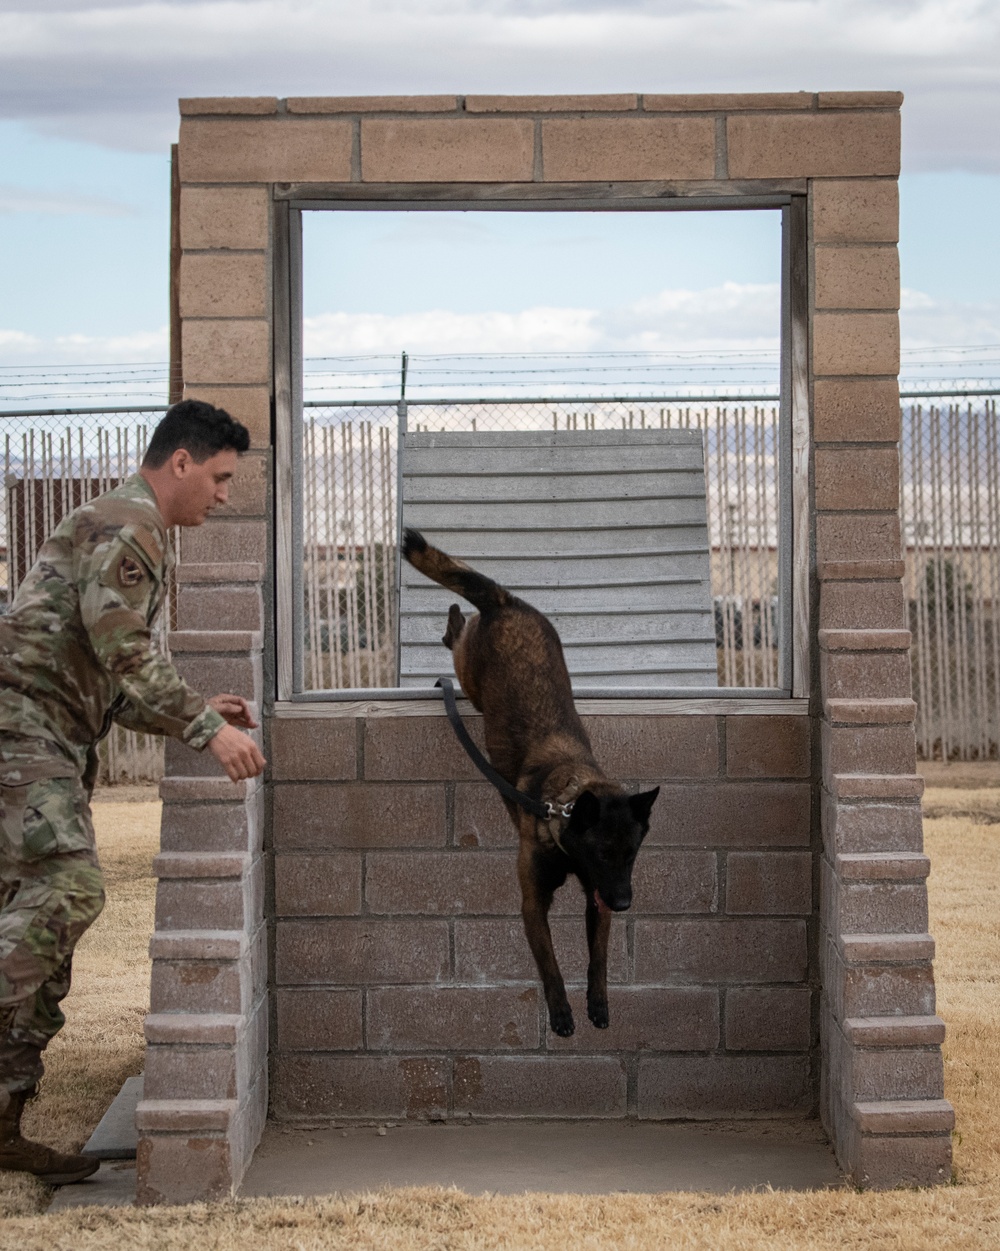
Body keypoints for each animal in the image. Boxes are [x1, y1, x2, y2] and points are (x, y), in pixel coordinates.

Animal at [403, 527, 660, 1035]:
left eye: (632, 854)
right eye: (604, 853)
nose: (624, 904)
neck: (563, 804)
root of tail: (507, 602)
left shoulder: (596, 899)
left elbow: (598, 957)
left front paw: (598, 1003)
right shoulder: (533, 903)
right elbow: (550, 964)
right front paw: (560, 1012)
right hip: (470, 675)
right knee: (457, 637)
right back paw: (452, 621)